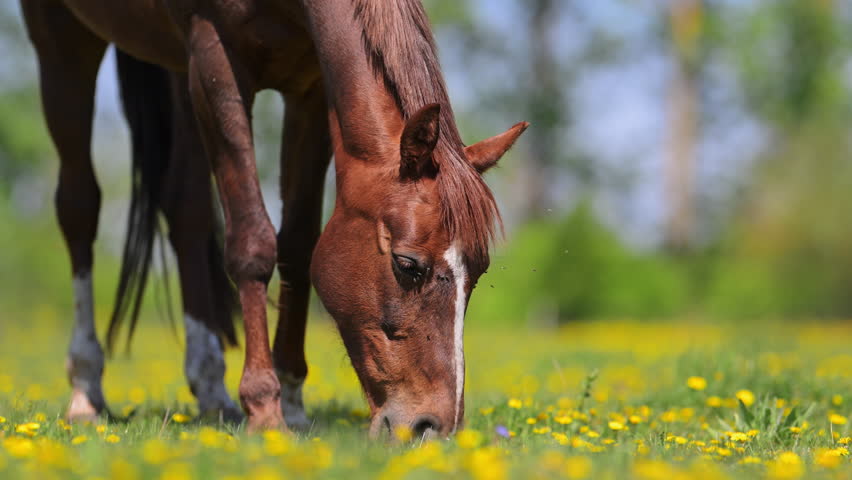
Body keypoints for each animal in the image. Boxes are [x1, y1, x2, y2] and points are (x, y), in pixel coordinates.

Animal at [22, 0, 528, 437]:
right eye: (407, 265)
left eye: (478, 273)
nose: (432, 428)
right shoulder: (215, 61)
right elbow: (253, 242)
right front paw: (264, 407)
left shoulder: (309, 86)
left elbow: (298, 245)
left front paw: (292, 400)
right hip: (62, 37)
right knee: (79, 207)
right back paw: (86, 391)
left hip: (175, 66)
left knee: (186, 209)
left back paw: (211, 389)